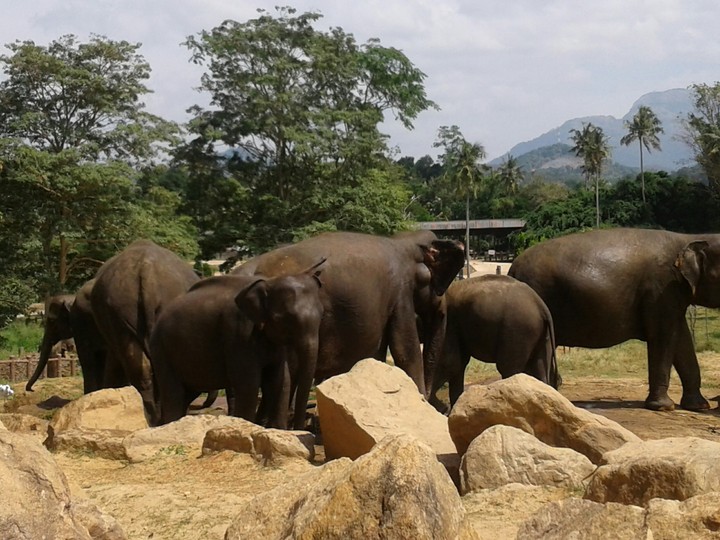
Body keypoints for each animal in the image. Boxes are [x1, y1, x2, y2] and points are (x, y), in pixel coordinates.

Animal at [149, 263, 324, 428]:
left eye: (321, 316)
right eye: (282, 318)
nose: (300, 428)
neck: (269, 282)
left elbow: (280, 380)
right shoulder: (239, 334)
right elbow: (249, 384)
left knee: (188, 392)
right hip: (161, 350)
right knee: (173, 393)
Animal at [428, 274, 559, 412]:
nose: (445, 407)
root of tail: (542, 306)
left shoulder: (449, 322)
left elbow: (450, 362)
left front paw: (442, 408)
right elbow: (457, 364)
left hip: (518, 330)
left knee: (509, 368)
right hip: (541, 335)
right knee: (539, 368)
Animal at [508, 227, 720, 412]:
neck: (689, 237)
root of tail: (513, 268)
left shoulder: (672, 295)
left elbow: (682, 339)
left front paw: (698, 406)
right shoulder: (660, 290)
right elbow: (663, 336)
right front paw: (663, 407)